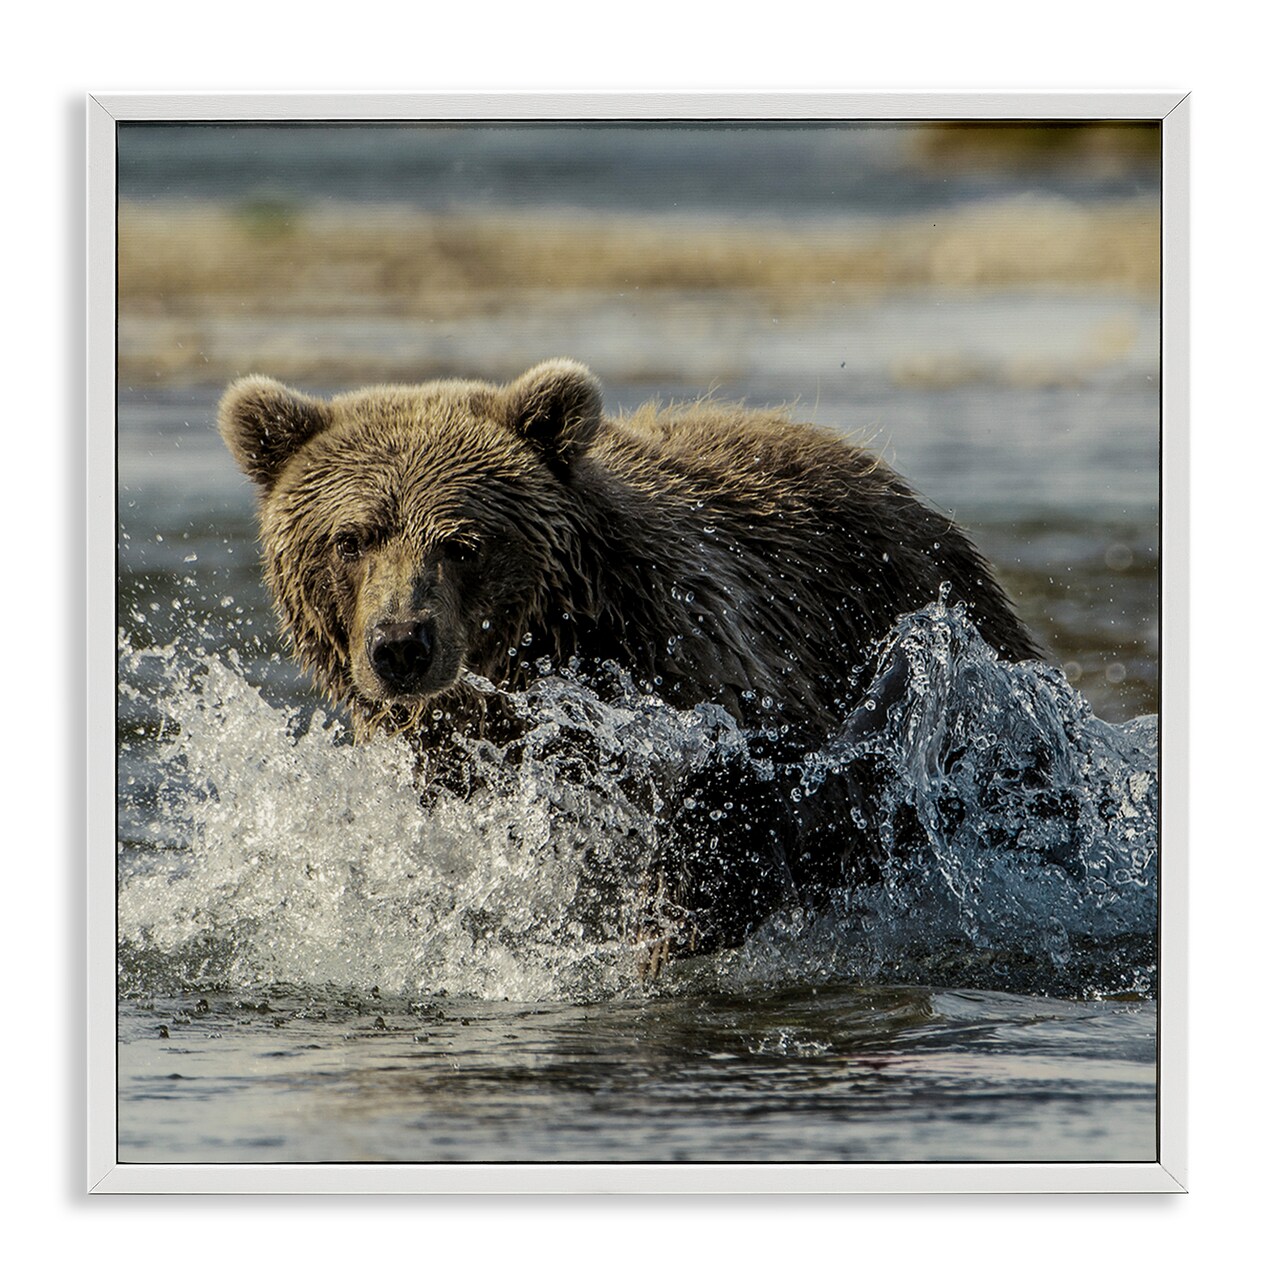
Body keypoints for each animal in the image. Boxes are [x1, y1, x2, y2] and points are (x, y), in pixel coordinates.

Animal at [219, 358, 1040, 958]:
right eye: (350, 539)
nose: (400, 645)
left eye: (463, 544)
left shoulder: (693, 668)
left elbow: (736, 809)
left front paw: (665, 929)